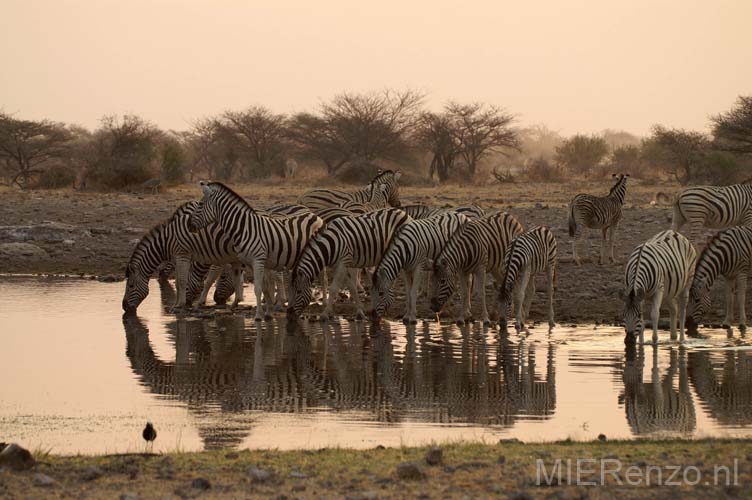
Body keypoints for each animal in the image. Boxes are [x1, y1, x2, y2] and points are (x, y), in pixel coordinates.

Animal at [188, 181, 324, 320]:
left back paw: (324, 305)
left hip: (317, 252)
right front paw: (268, 312)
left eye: (200, 204)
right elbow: (264, 287)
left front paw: (258, 315)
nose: (189, 225)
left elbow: (257, 288)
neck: (245, 228)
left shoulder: (256, 260)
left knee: (323, 278)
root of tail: (316, 216)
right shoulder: (250, 262)